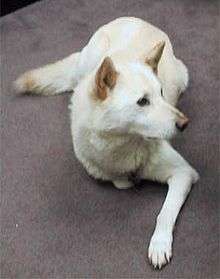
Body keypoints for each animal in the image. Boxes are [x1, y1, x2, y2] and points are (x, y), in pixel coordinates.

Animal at [14, 17, 199, 270]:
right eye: (143, 101)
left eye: (161, 93)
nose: (184, 123)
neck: (125, 144)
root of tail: (133, 19)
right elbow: (119, 182)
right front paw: (125, 181)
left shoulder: (183, 173)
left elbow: (165, 212)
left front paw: (159, 244)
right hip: (88, 63)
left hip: (182, 75)